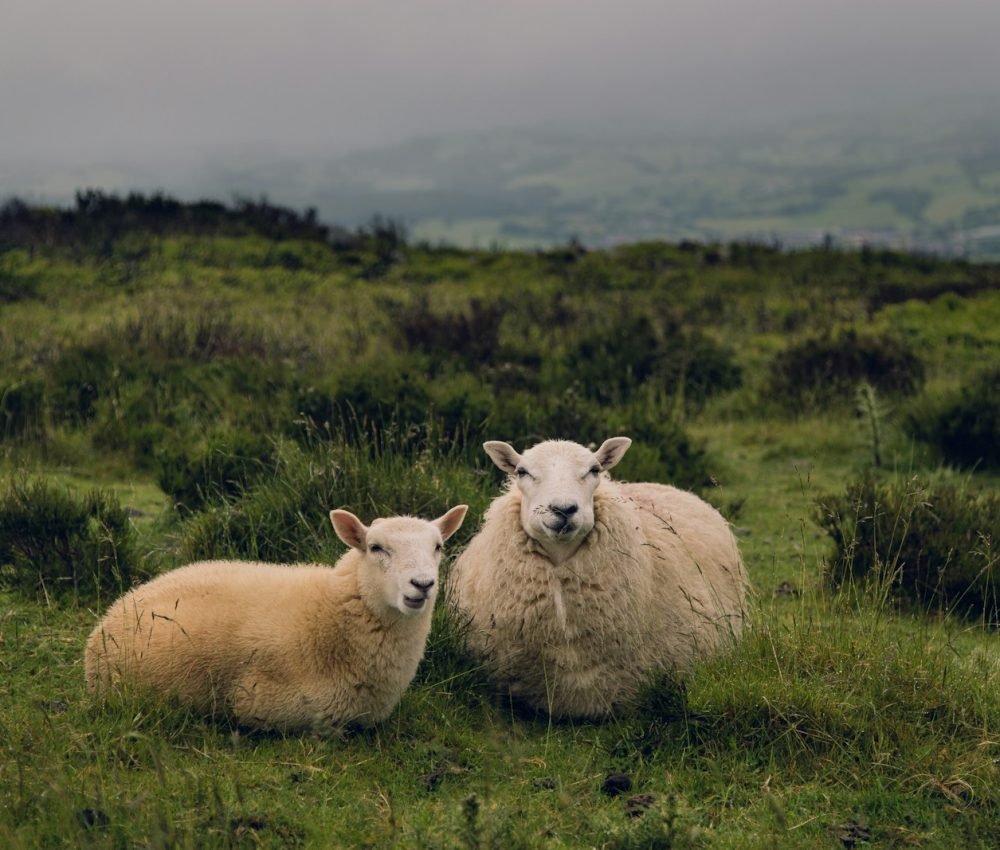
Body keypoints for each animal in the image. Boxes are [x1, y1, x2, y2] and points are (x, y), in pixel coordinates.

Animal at [85, 504, 468, 728]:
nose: (423, 584)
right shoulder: (267, 704)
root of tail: (117, 608)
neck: (332, 615)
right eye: (376, 548)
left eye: (438, 547)